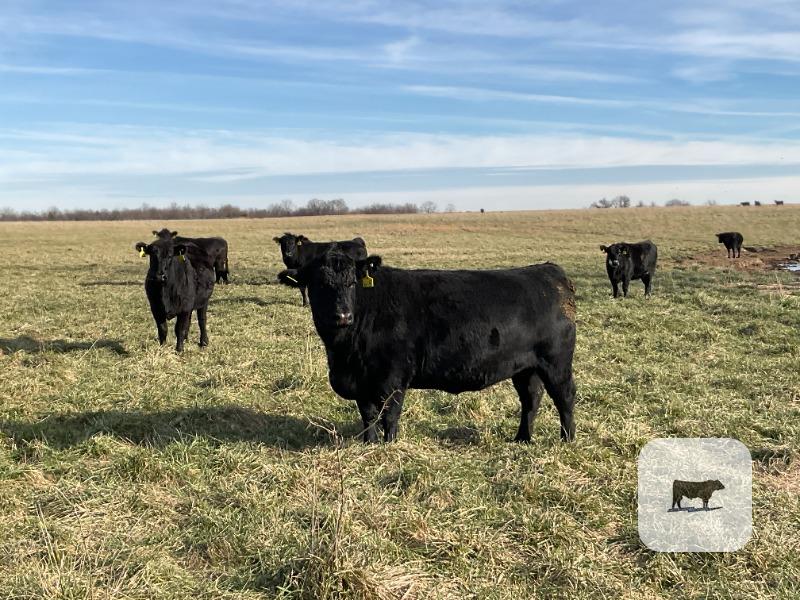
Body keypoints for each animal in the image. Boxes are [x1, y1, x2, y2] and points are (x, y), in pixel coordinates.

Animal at [278, 245, 577, 444]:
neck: (343, 353)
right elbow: (368, 414)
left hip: (556, 363)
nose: (342, 315)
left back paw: (567, 439)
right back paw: (522, 438)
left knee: (565, 396)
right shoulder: (361, 380)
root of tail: (550, 271)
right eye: (318, 284)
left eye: (352, 282)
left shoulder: (393, 376)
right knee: (531, 399)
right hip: (525, 367)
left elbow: (390, 414)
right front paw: (368, 443)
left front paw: (389, 445)